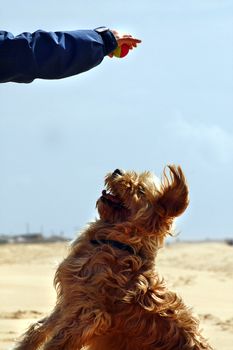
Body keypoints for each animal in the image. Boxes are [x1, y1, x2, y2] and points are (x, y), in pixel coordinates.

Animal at [13, 165, 212, 348]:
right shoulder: (68, 302)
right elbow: (38, 329)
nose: (117, 170)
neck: (116, 243)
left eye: (141, 190)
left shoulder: (88, 315)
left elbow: (56, 342)